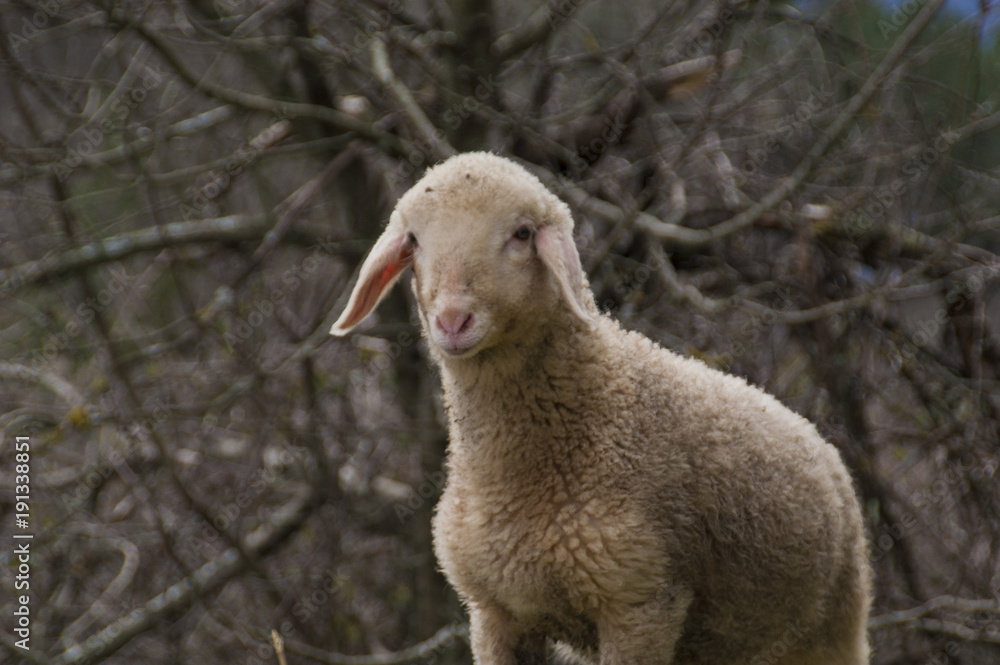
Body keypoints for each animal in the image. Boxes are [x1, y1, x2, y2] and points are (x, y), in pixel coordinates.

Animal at [330, 152, 872, 665]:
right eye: (414, 241)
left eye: (522, 234)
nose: (452, 321)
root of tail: (817, 439)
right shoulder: (496, 612)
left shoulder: (640, 604)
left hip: (833, 627)